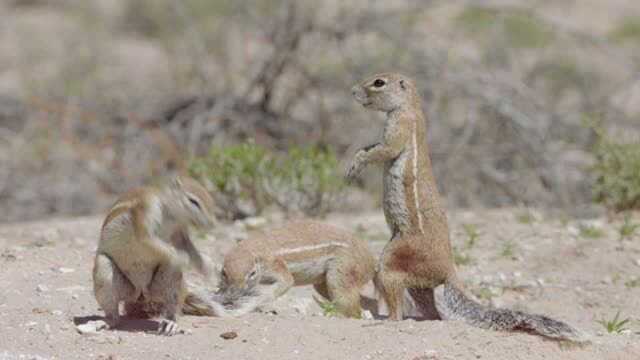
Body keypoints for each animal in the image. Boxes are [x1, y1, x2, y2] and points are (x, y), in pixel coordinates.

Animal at [92, 176, 218, 336]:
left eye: (212, 200)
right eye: (193, 201)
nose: (212, 224)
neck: (171, 215)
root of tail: (142, 295)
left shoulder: (180, 232)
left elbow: (188, 246)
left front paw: (206, 266)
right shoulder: (146, 210)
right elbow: (150, 240)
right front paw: (181, 257)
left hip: (164, 285)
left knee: (172, 304)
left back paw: (170, 323)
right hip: (107, 273)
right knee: (114, 316)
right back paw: (107, 321)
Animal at [181, 219, 376, 318]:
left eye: (252, 273)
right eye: (223, 273)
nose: (235, 294)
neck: (253, 249)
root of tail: (371, 260)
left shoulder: (275, 265)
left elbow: (285, 282)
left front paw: (254, 301)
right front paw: (217, 297)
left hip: (340, 273)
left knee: (351, 305)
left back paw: (337, 314)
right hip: (322, 283)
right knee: (364, 302)